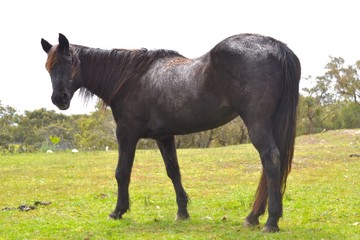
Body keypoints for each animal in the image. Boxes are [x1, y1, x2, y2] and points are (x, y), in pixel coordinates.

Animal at [40, 32, 300, 232]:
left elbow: (122, 172)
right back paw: (253, 217)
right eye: (48, 67)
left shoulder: (126, 134)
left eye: (68, 62)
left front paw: (118, 211)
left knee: (271, 159)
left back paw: (270, 221)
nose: (59, 99)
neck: (130, 78)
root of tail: (276, 46)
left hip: (257, 123)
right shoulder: (164, 137)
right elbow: (173, 171)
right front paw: (182, 212)